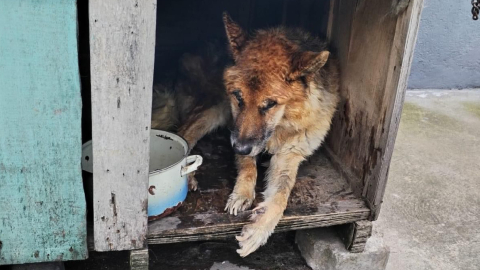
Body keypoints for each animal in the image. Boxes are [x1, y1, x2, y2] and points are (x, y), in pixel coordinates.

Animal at [152, 13, 340, 258]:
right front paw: (242, 194)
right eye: (238, 97)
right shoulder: (237, 130)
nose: (239, 148)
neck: (281, 124)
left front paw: (259, 230)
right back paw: (188, 174)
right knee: (183, 132)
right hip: (215, 108)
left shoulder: (288, 155)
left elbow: (281, 195)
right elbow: (248, 167)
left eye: (269, 104)